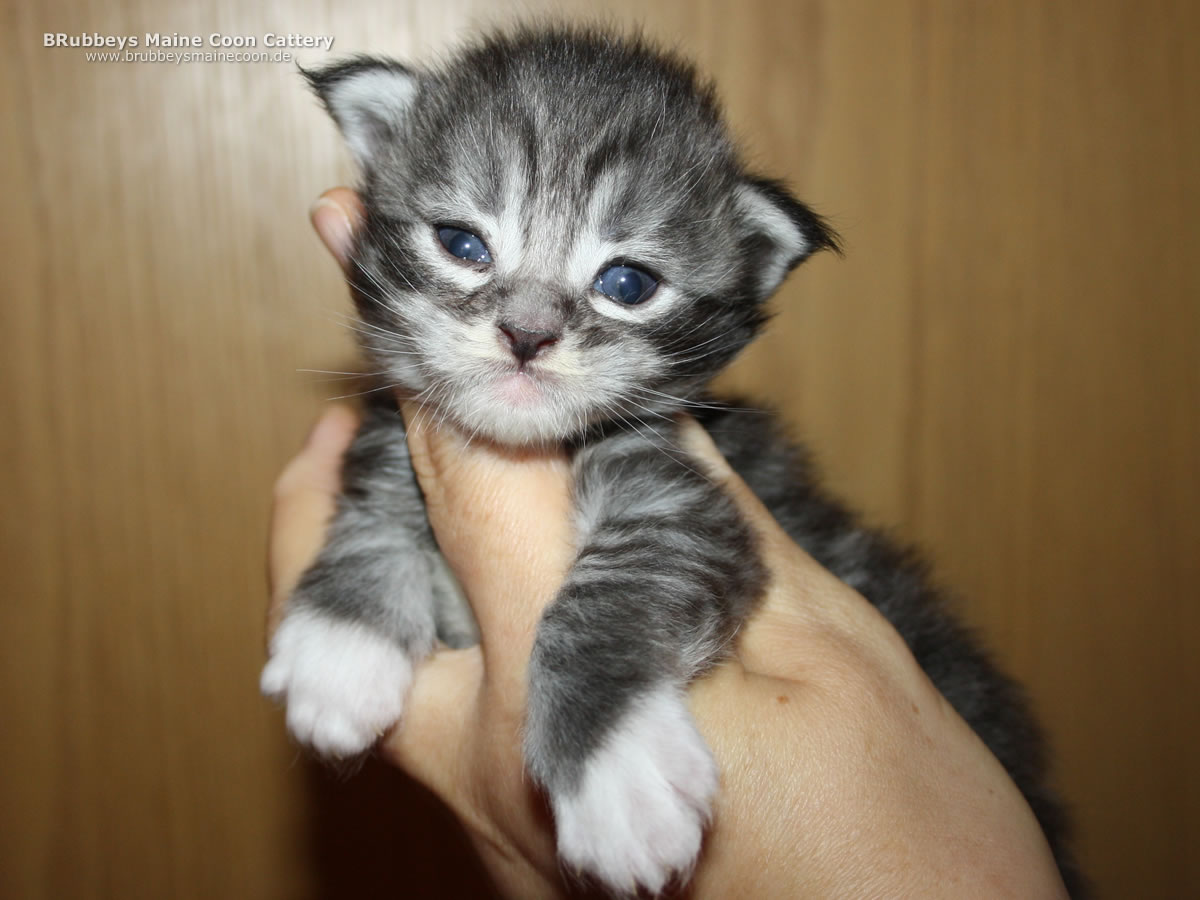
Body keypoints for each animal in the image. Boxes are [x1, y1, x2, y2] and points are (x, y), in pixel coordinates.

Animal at [265, 24, 1089, 897]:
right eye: (462, 245)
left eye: (627, 283)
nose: (527, 335)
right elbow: (378, 477)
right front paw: (342, 635)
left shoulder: (685, 498)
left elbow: (613, 592)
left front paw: (612, 766)